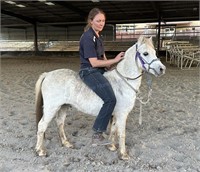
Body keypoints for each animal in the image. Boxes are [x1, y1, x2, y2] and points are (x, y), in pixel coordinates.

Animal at [34, 36, 166, 160]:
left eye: (155, 52)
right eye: (145, 53)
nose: (162, 69)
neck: (123, 81)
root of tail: (48, 74)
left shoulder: (115, 114)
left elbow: (113, 130)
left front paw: (111, 146)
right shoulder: (122, 114)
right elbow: (122, 133)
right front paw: (123, 154)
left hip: (63, 107)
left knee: (60, 123)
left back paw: (66, 143)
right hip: (51, 108)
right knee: (41, 126)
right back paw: (40, 151)